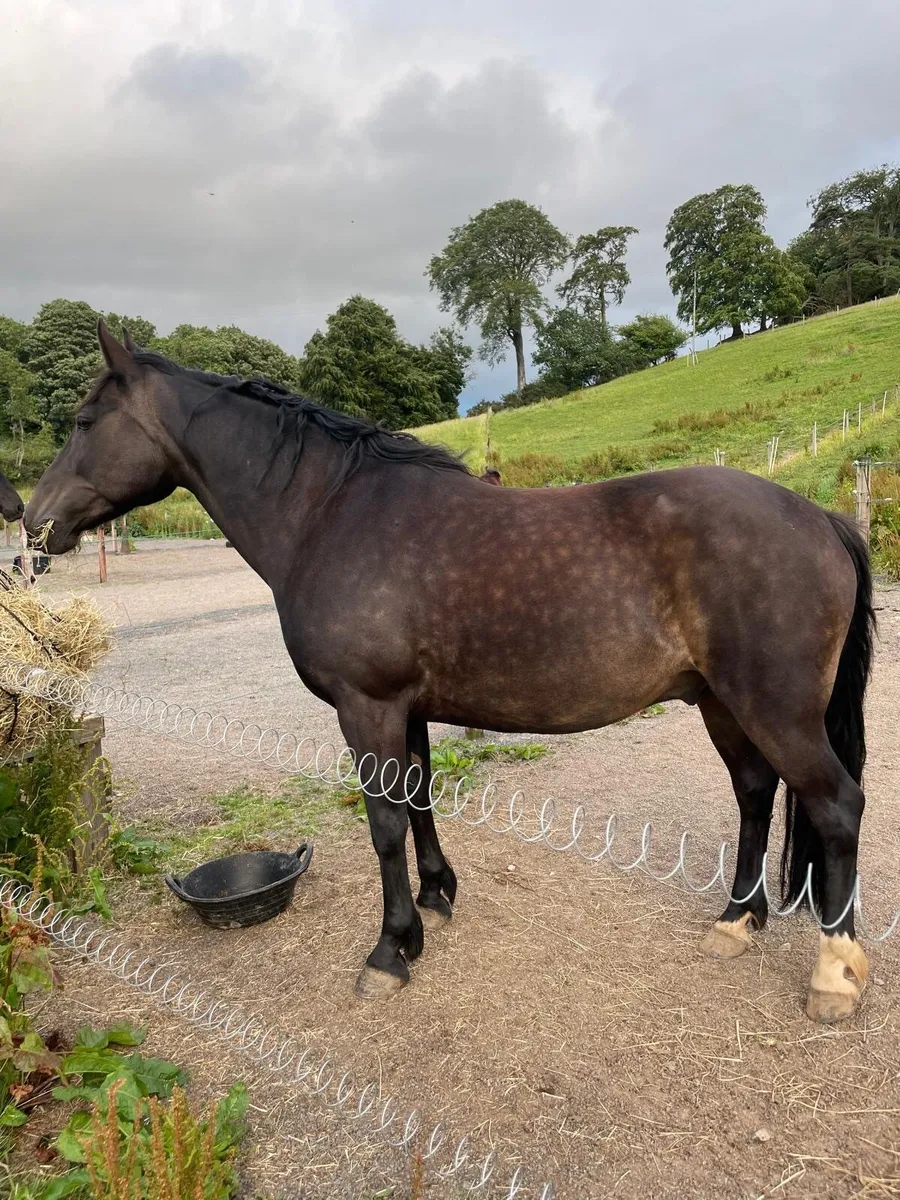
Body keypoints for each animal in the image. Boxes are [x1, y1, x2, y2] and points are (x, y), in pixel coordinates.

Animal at [25, 322, 874, 1022]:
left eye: (85, 423)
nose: (34, 521)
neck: (329, 513)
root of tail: (821, 518)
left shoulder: (366, 707)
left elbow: (384, 824)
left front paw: (389, 949)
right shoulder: (407, 708)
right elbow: (420, 800)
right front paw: (435, 901)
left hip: (774, 709)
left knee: (836, 805)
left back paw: (834, 973)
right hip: (721, 703)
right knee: (756, 792)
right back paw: (736, 921)